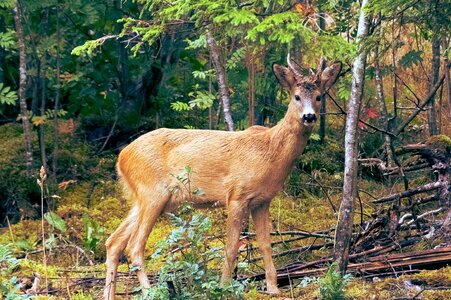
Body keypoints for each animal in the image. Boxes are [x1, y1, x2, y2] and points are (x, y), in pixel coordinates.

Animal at [103, 55, 342, 298]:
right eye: (296, 96)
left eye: (319, 97)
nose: (309, 116)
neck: (270, 153)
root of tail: (122, 157)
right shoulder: (236, 195)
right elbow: (232, 244)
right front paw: (225, 285)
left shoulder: (262, 201)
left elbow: (265, 244)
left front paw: (273, 288)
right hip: (153, 193)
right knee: (134, 247)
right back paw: (152, 292)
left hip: (143, 198)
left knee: (113, 242)